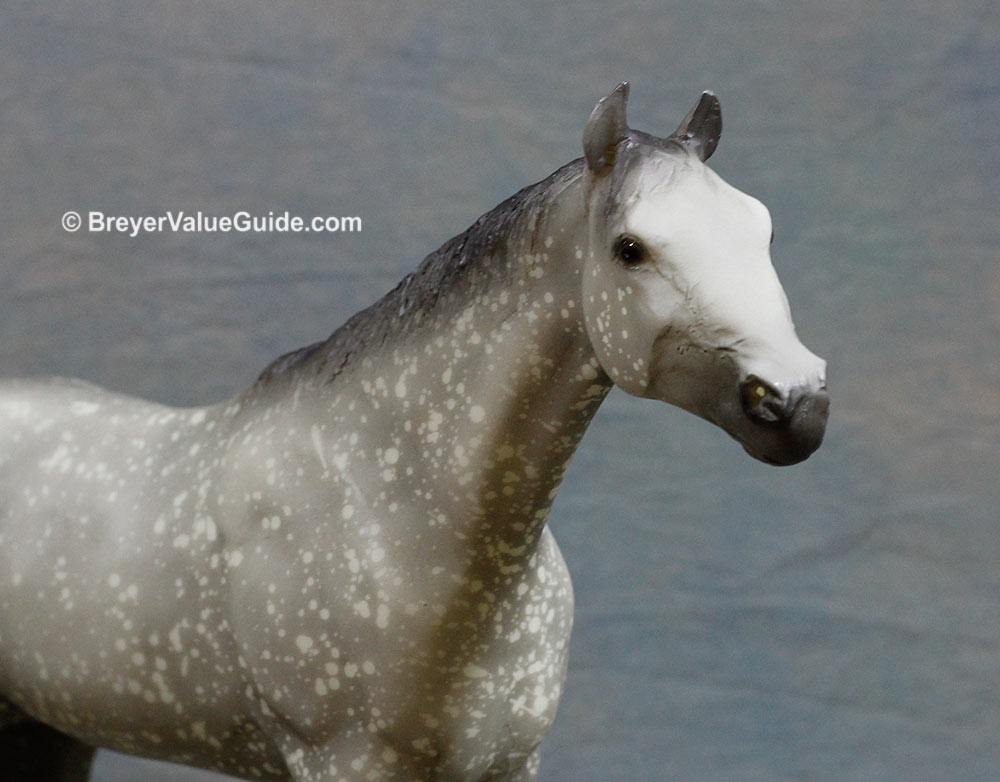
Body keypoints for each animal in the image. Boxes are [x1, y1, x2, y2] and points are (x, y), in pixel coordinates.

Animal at [0, 83, 828, 781]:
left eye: (762, 229)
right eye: (631, 248)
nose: (797, 405)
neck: (388, 513)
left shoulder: (508, 766)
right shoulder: (340, 763)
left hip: (48, 729)